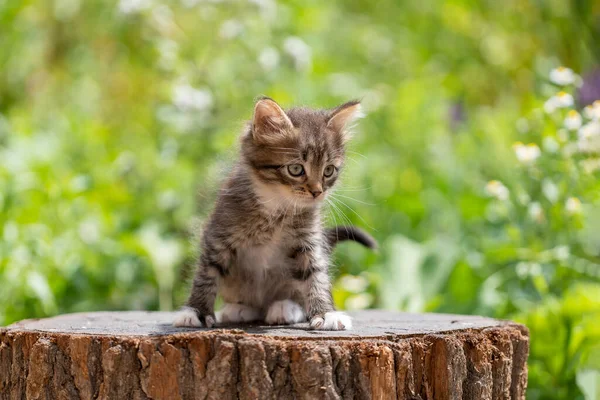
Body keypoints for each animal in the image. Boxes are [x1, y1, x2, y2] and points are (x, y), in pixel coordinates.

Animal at [173, 97, 376, 332]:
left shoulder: (308, 240)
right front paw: (195, 311)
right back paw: (240, 308)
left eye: (328, 171)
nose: (317, 192)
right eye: (296, 169)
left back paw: (285, 308)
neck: (277, 207)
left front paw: (326, 313)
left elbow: (316, 274)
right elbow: (206, 274)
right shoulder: (217, 234)